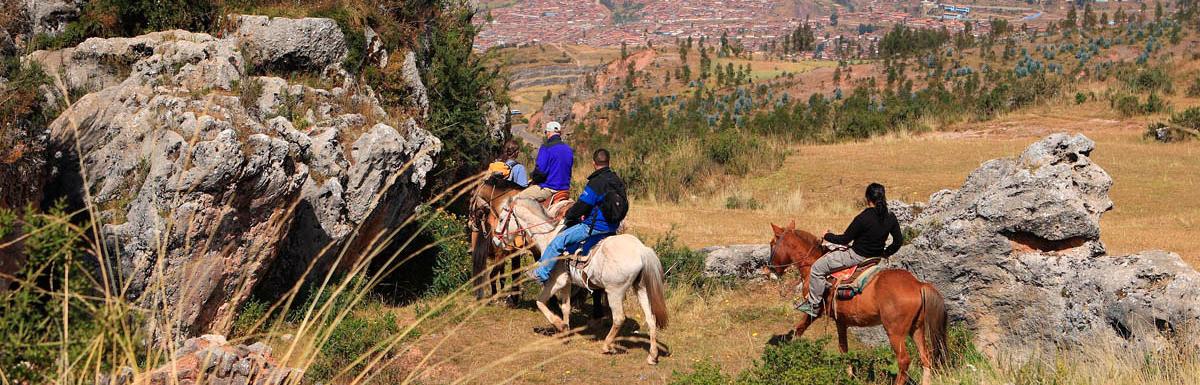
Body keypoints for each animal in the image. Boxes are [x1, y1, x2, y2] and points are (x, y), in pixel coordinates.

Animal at [494, 194, 667, 362]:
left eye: (502, 219)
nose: (495, 240)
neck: (548, 237)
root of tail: (641, 250)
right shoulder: (567, 283)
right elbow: (566, 307)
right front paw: (565, 330)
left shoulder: (556, 281)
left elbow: (540, 302)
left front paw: (559, 325)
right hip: (641, 288)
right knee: (650, 318)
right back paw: (652, 355)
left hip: (615, 292)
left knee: (619, 318)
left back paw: (606, 346)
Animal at [768, 221, 945, 383]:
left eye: (771, 244)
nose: (769, 269)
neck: (811, 263)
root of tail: (918, 284)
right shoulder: (841, 320)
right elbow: (843, 349)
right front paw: (848, 375)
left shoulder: (815, 310)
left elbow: (799, 329)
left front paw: (790, 351)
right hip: (917, 328)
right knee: (926, 358)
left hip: (895, 332)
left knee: (904, 361)